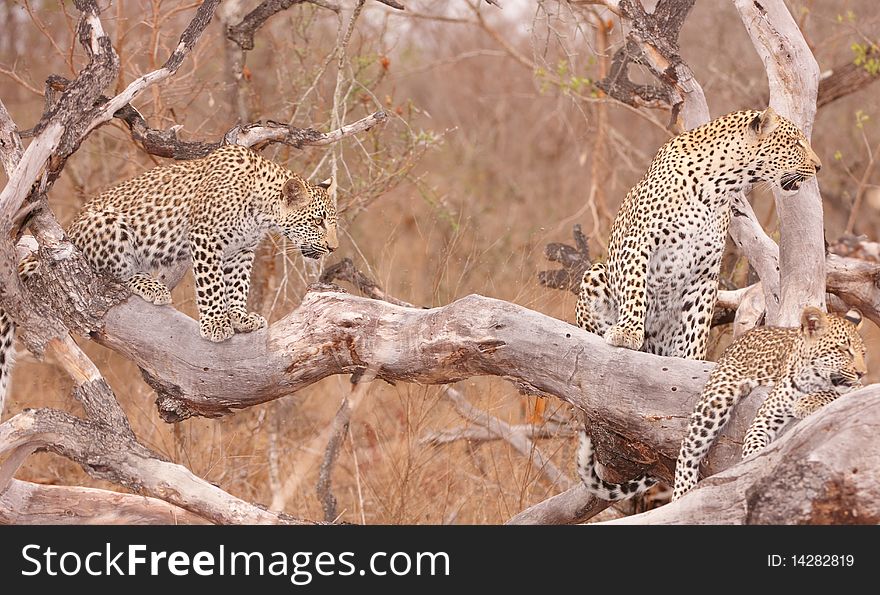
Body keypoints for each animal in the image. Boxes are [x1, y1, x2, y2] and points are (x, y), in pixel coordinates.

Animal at [0, 144, 338, 412]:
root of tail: (69, 230)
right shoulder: (205, 237)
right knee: (113, 273)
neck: (262, 210)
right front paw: (216, 325)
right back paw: (152, 286)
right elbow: (212, 286)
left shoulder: (242, 251)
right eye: (318, 222)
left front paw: (240, 318)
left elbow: (238, 286)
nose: (333, 247)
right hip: (109, 225)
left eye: (332, 221)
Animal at [576, 106, 820, 358]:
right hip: (595, 272)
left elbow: (698, 322)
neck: (719, 186)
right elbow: (635, 288)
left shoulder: (704, 271)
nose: (818, 166)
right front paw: (627, 332)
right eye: (795, 143)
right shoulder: (638, 242)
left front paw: (693, 358)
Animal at [576, 304, 868, 506]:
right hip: (714, 402)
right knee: (687, 453)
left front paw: (809, 401)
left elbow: (837, 392)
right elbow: (753, 450)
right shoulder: (763, 419)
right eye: (844, 349)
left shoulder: (858, 389)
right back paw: (682, 495)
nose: (862, 372)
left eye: (864, 353)